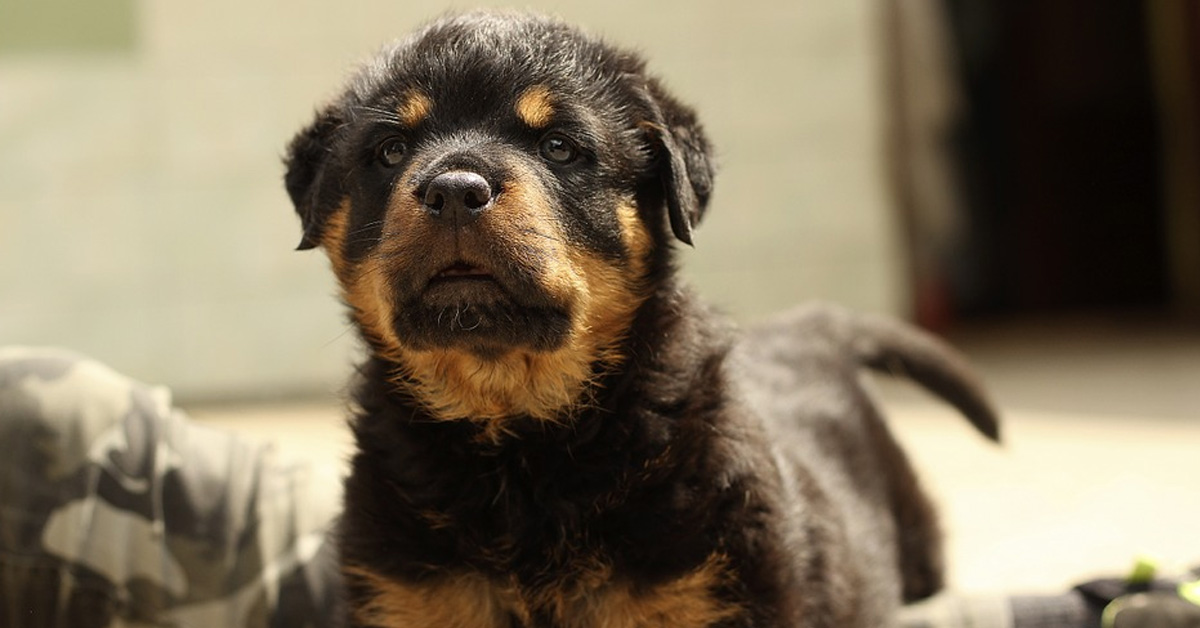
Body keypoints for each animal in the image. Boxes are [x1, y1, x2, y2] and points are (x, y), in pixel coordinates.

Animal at [283, 9, 1003, 628]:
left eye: (559, 146)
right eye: (389, 150)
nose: (454, 189)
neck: (518, 437)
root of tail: (803, 330)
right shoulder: (405, 593)